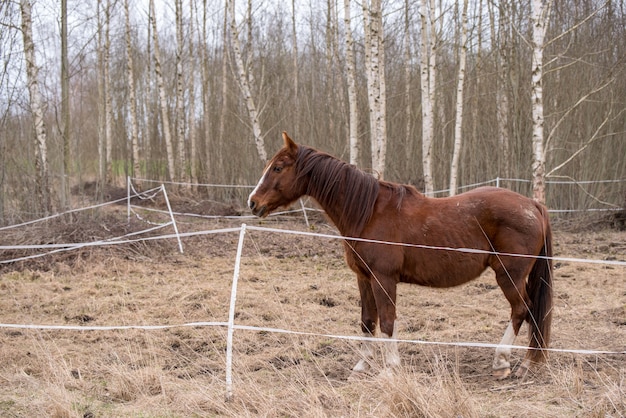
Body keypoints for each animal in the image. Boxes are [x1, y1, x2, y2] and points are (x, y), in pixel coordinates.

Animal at [247, 131, 552, 378]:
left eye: (277, 167)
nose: (253, 202)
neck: (369, 213)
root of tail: (533, 205)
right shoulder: (364, 278)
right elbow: (368, 321)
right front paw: (362, 367)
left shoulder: (384, 279)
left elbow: (387, 321)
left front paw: (390, 370)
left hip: (509, 275)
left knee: (522, 310)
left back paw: (506, 363)